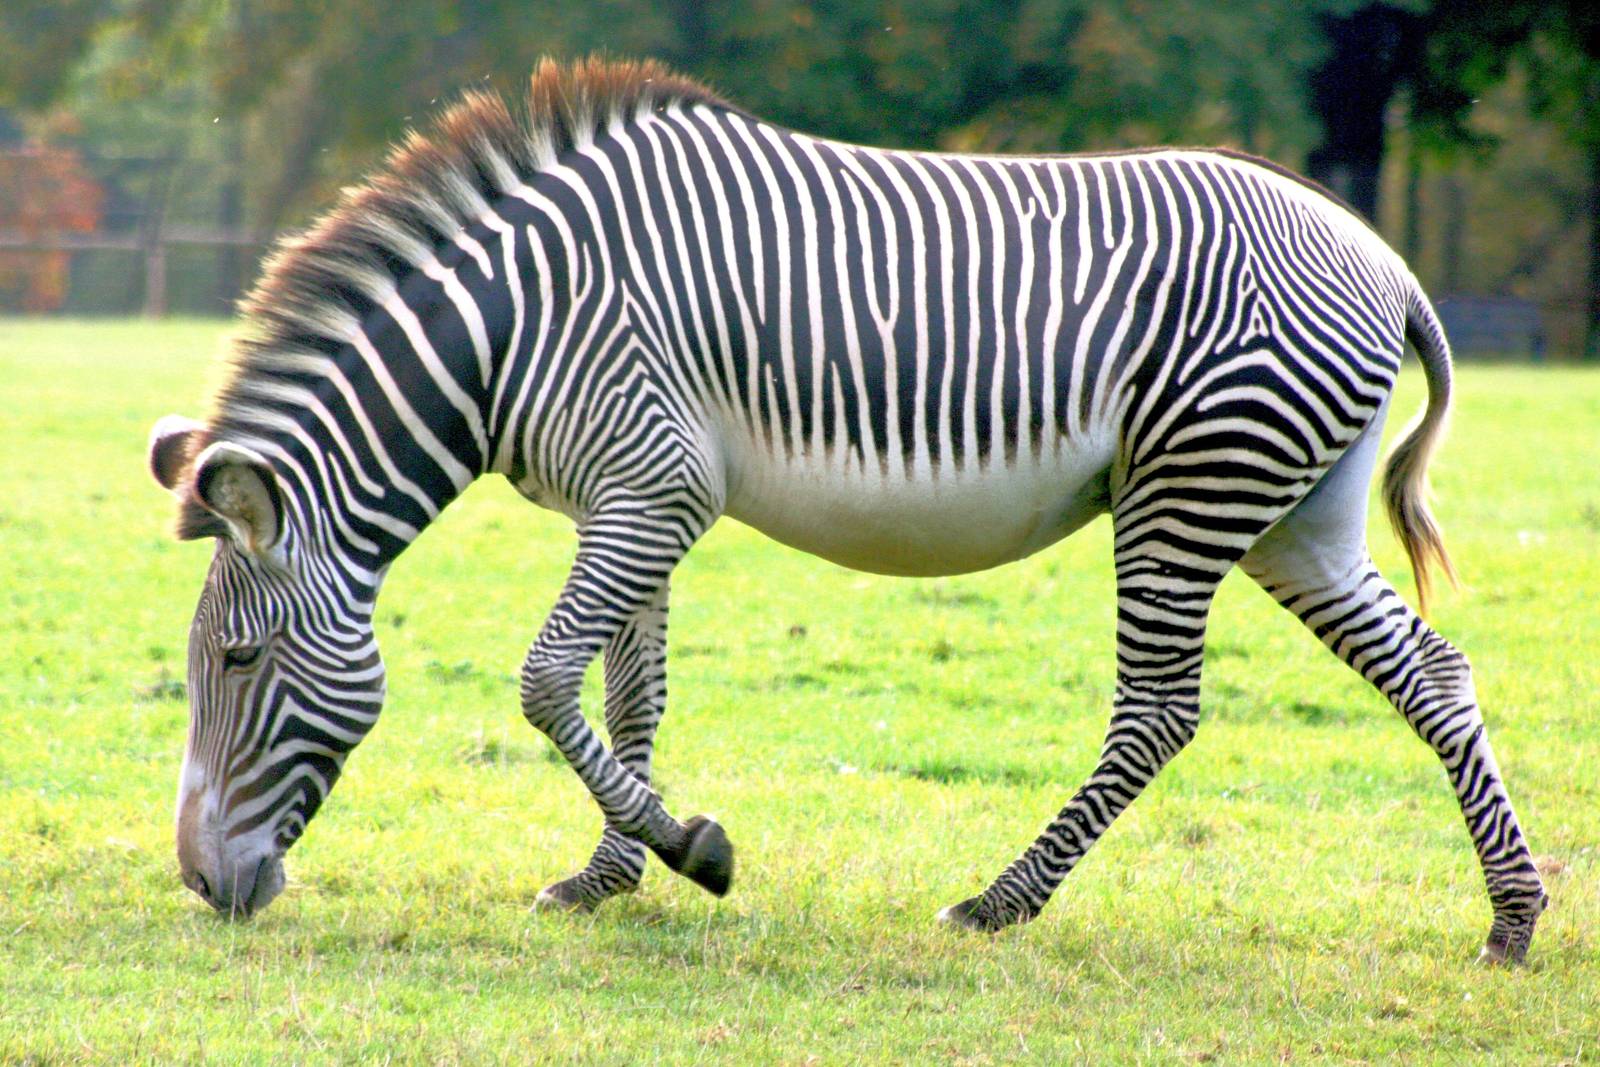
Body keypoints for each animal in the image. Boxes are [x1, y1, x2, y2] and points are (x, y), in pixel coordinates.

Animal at [146, 57, 1547, 961]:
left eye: (237, 658)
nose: (204, 886)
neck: (511, 327)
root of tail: (1386, 263)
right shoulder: (639, 496)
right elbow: (628, 694)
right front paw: (610, 872)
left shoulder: (650, 486)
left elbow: (545, 681)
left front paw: (692, 849)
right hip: (1294, 513)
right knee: (1435, 672)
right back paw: (1512, 914)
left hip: (1192, 487)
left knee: (1157, 710)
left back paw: (997, 903)